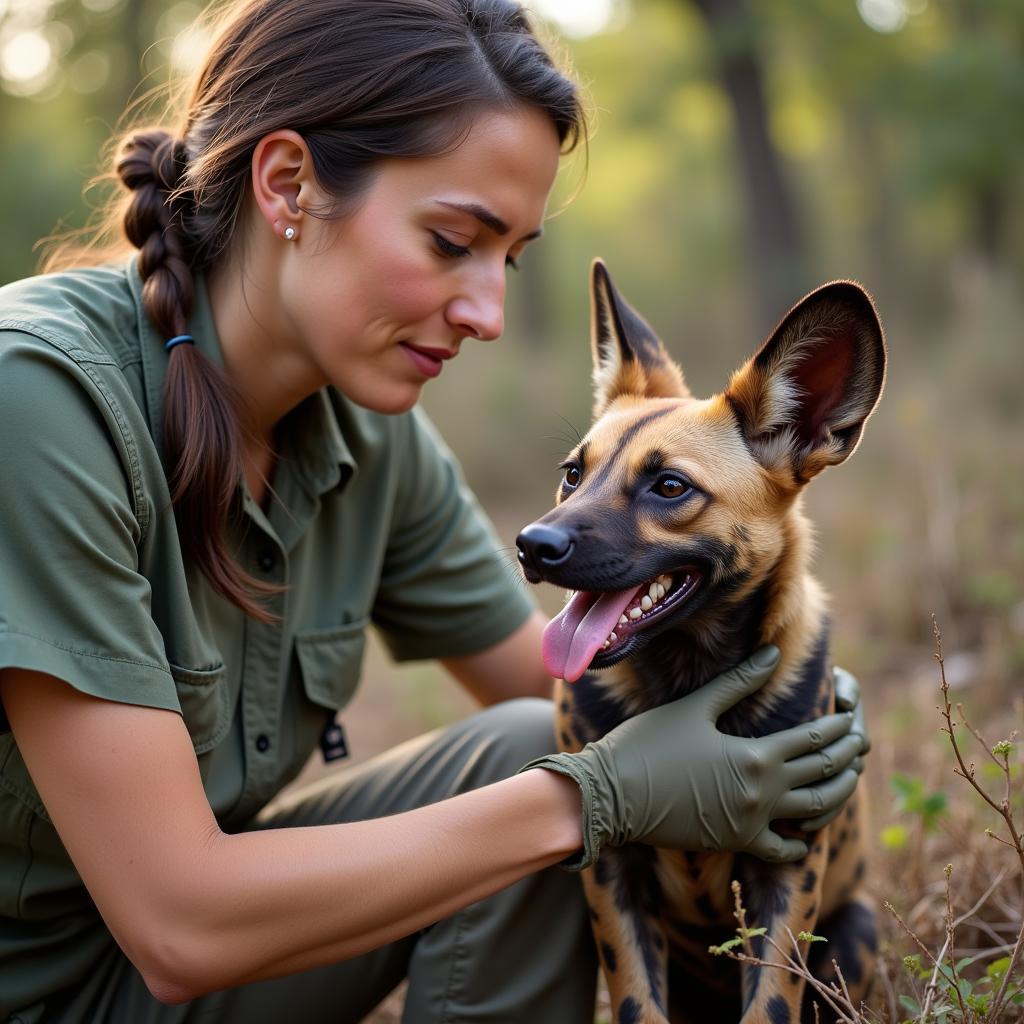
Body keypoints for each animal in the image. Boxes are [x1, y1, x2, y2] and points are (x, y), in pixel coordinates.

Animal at [516, 262, 884, 1024]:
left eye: (669, 486)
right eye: (573, 473)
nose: (532, 546)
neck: (685, 681)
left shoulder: (786, 869)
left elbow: (770, 1004)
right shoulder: (612, 871)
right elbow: (637, 1004)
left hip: (856, 931)